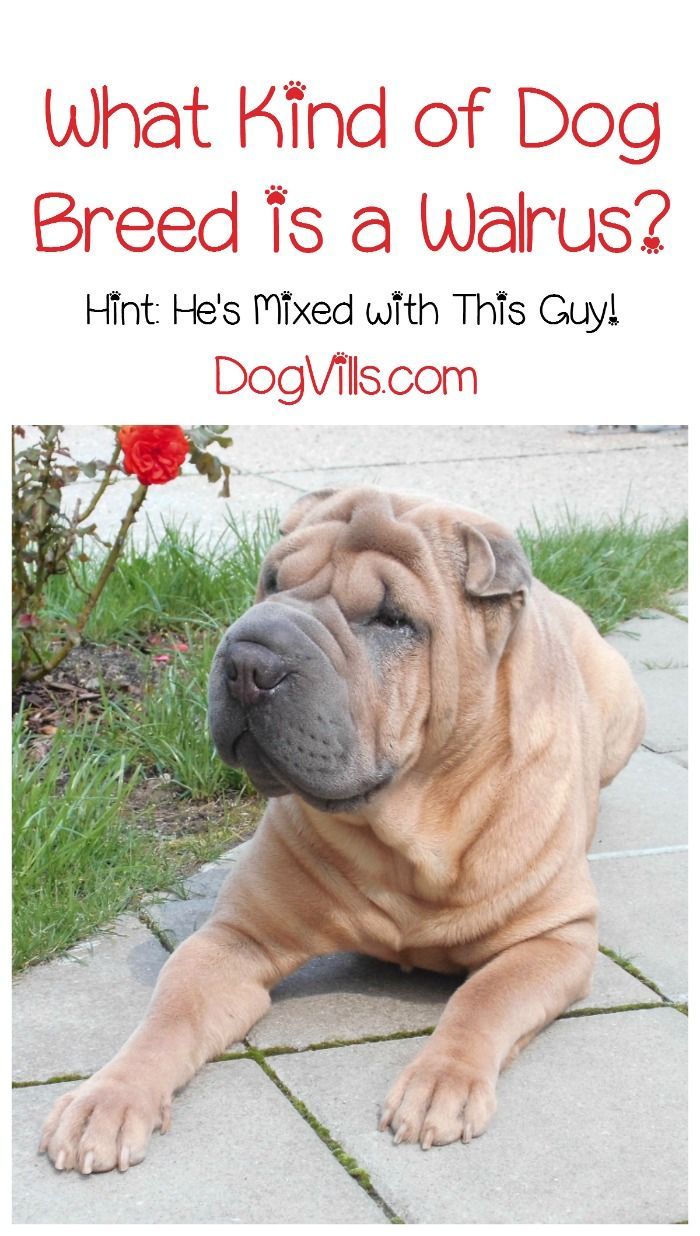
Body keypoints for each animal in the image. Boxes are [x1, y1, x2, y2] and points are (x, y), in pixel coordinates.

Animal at [39, 482, 648, 1166]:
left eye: (391, 619)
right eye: (272, 582)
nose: (248, 660)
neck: (407, 828)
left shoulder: (556, 938)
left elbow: (482, 999)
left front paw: (440, 1082)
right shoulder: (234, 939)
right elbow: (169, 1014)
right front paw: (106, 1099)